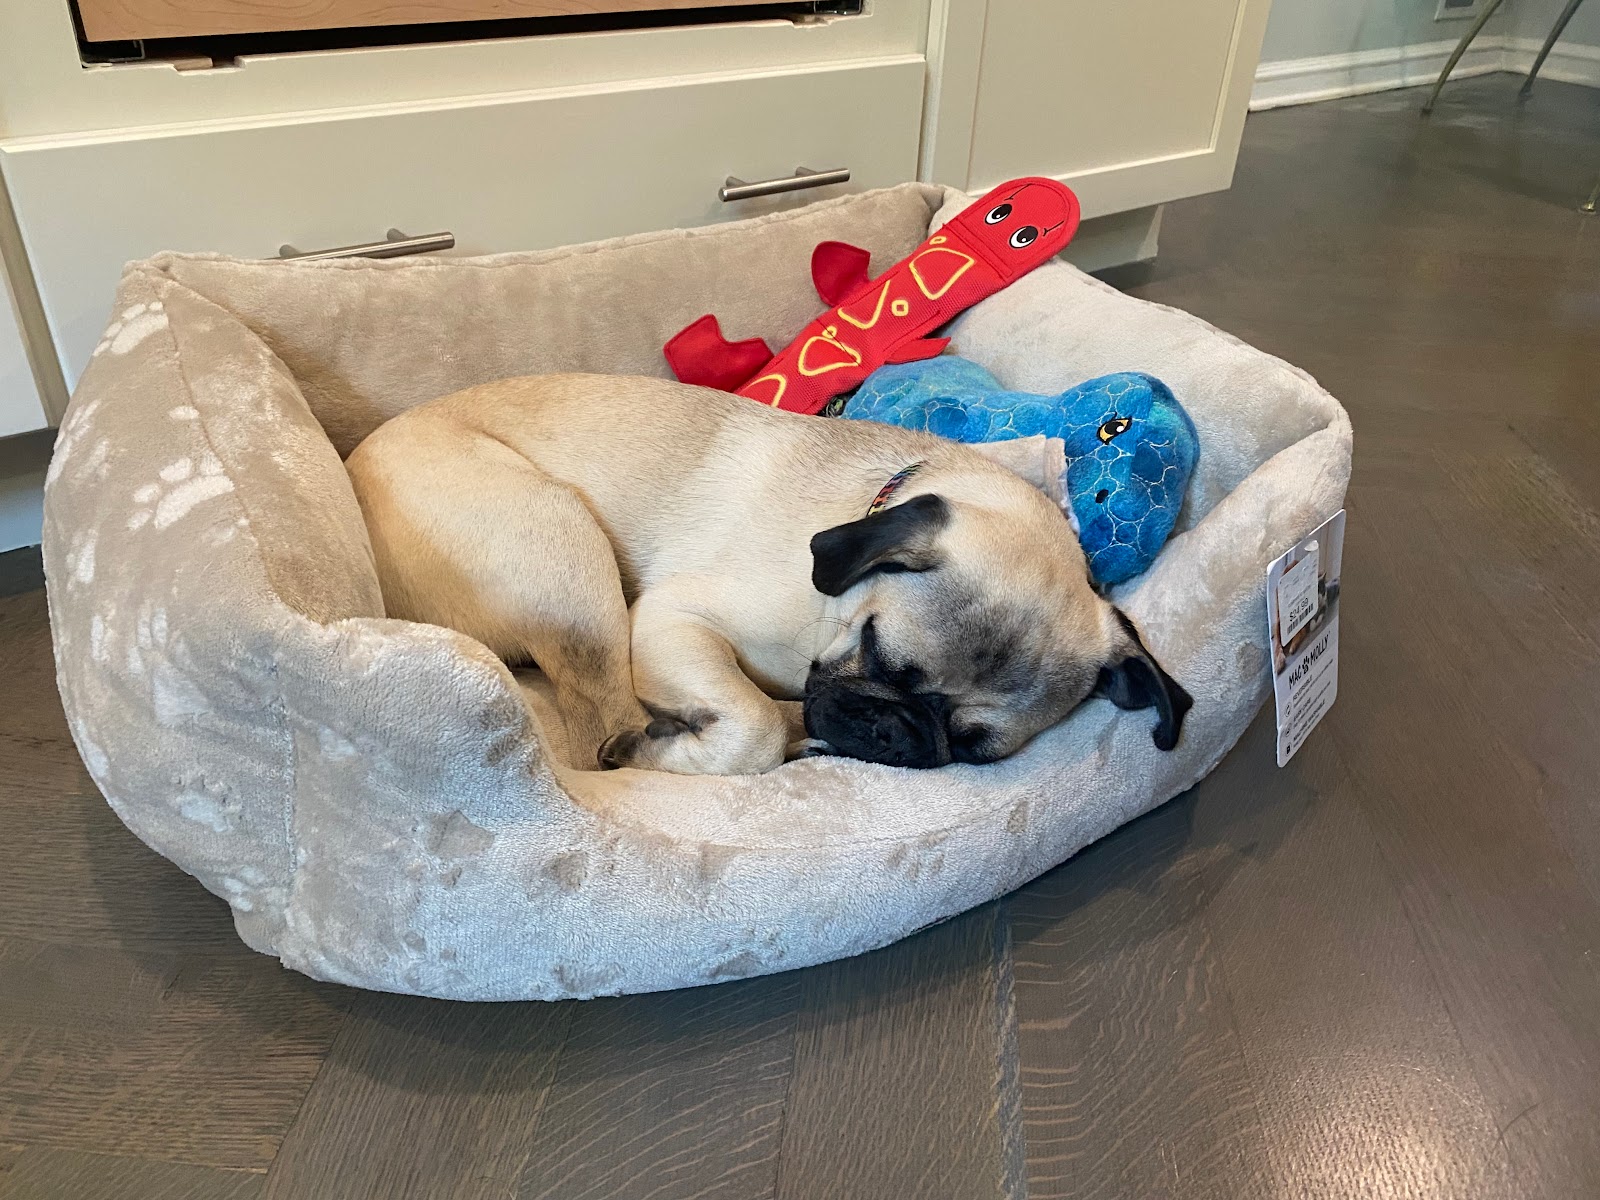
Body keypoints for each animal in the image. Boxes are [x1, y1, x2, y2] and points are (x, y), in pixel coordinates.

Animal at [345, 373, 1191, 774]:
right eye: (880, 653)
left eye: (973, 746)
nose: (892, 733)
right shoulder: (672, 623)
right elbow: (747, 726)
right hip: (571, 561)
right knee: (605, 727)